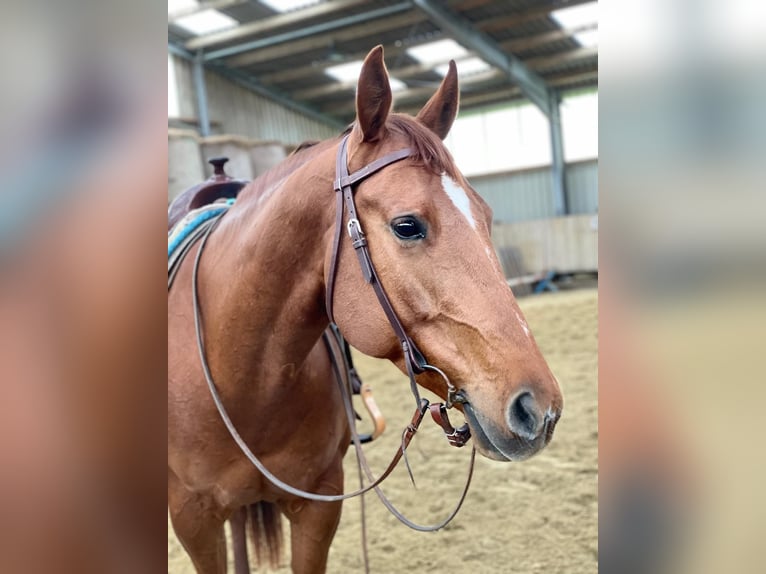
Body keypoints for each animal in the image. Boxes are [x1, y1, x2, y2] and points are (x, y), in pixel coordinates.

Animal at [168, 45, 563, 574]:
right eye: (406, 225)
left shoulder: (317, 508)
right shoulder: (193, 519)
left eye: (486, 216)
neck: (241, 376)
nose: (540, 410)